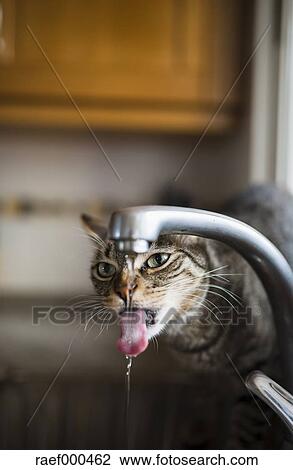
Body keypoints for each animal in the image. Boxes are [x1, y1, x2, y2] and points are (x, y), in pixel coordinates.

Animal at [80, 185, 292, 450]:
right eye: (105, 269)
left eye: (158, 260)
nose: (123, 290)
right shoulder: (201, 384)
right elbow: (202, 419)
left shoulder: (257, 374)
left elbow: (244, 434)